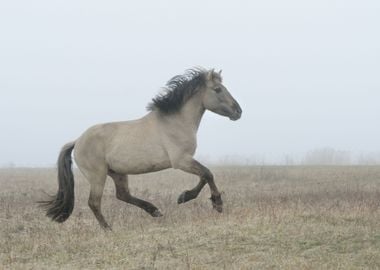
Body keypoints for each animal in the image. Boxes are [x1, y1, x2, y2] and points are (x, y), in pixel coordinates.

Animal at [41, 67, 242, 228]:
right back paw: (108, 229)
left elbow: (203, 176)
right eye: (218, 89)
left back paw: (154, 211)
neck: (175, 122)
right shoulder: (181, 161)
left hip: (118, 173)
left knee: (123, 195)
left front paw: (184, 197)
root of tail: (77, 141)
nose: (238, 111)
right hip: (98, 175)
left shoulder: (185, 160)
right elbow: (208, 174)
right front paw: (217, 203)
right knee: (94, 203)